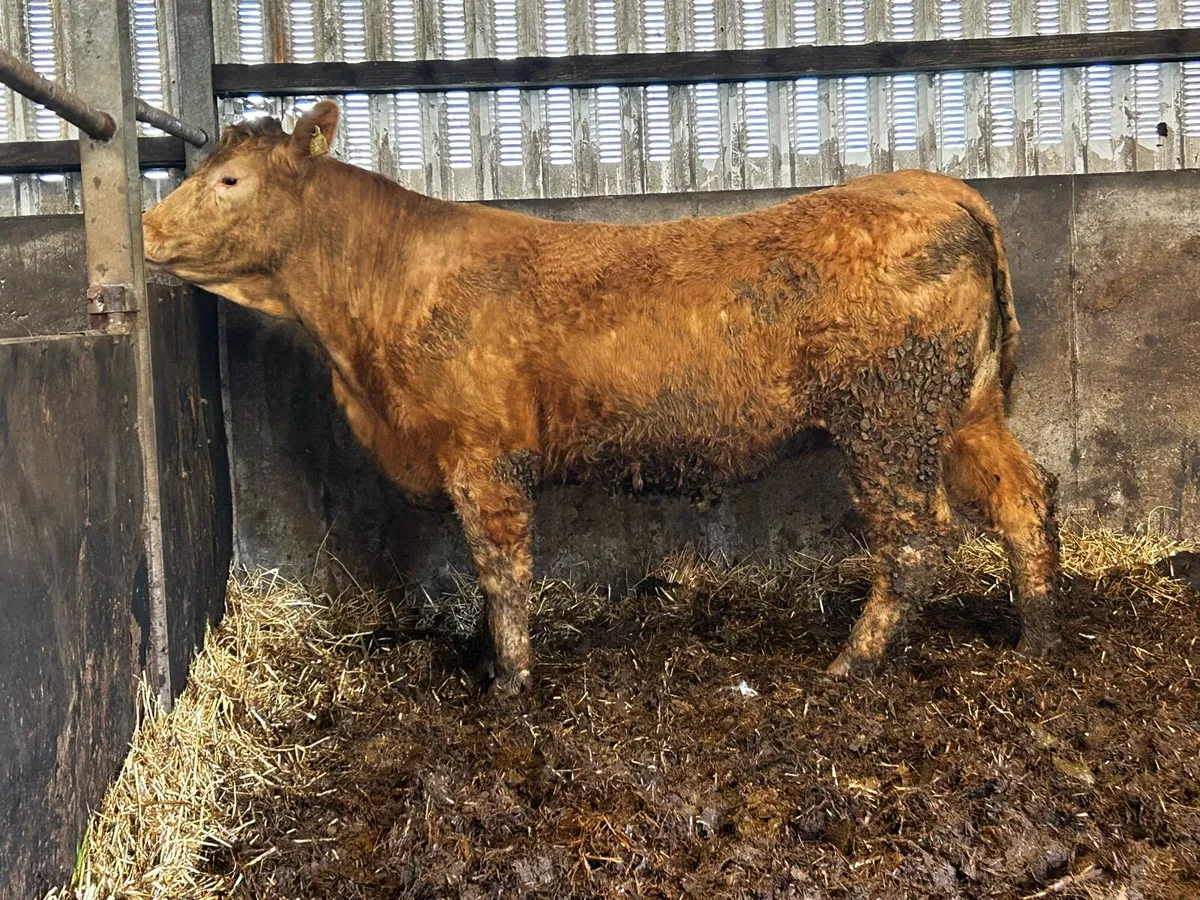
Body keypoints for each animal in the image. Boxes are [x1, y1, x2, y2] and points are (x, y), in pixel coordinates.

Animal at [142, 100, 1060, 695]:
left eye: (228, 180)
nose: (146, 230)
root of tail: (935, 186)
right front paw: (483, 659)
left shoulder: (485, 453)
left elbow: (501, 568)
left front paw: (509, 682)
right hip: (963, 408)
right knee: (1023, 495)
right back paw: (1036, 635)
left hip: (888, 418)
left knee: (917, 537)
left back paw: (851, 665)